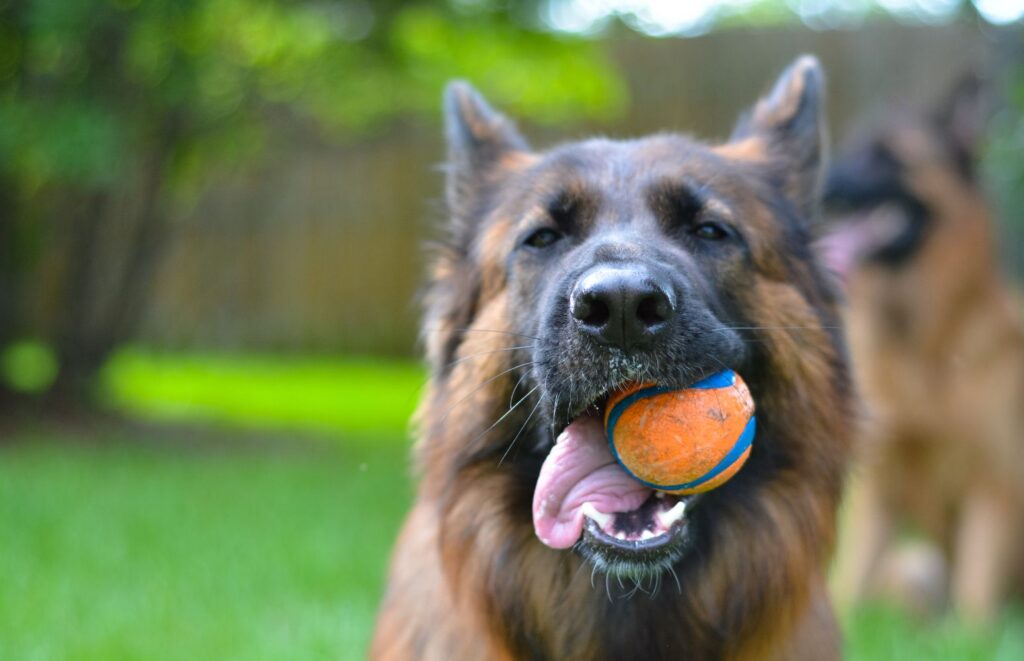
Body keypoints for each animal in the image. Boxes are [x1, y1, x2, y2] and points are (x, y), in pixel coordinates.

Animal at [823, 75, 1024, 626]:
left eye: (888, 156)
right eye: (852, 145)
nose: (823, 181)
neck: (921, 347)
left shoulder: (992, 488)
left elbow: (976, 606)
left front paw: (973, 638)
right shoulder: (876, 490)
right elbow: (851, 590)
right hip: (915, 567)